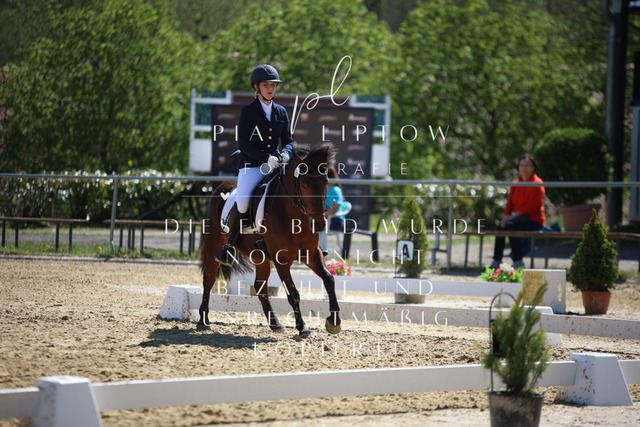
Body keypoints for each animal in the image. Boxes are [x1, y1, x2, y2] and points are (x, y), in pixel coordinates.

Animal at [198, 143, 341, 338]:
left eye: (325, 183)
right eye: (304, 185)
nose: (318, 224)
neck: (294, 216)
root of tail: (220, 187)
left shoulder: (311, 253)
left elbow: (329, 279)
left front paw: (334, 322)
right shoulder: (281, 259)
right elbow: (293, 293)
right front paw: (302, 327)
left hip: (260, 256)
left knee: (260, 286)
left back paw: (275, 323)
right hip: (214, 246)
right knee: (209, 278)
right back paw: (203, 320)